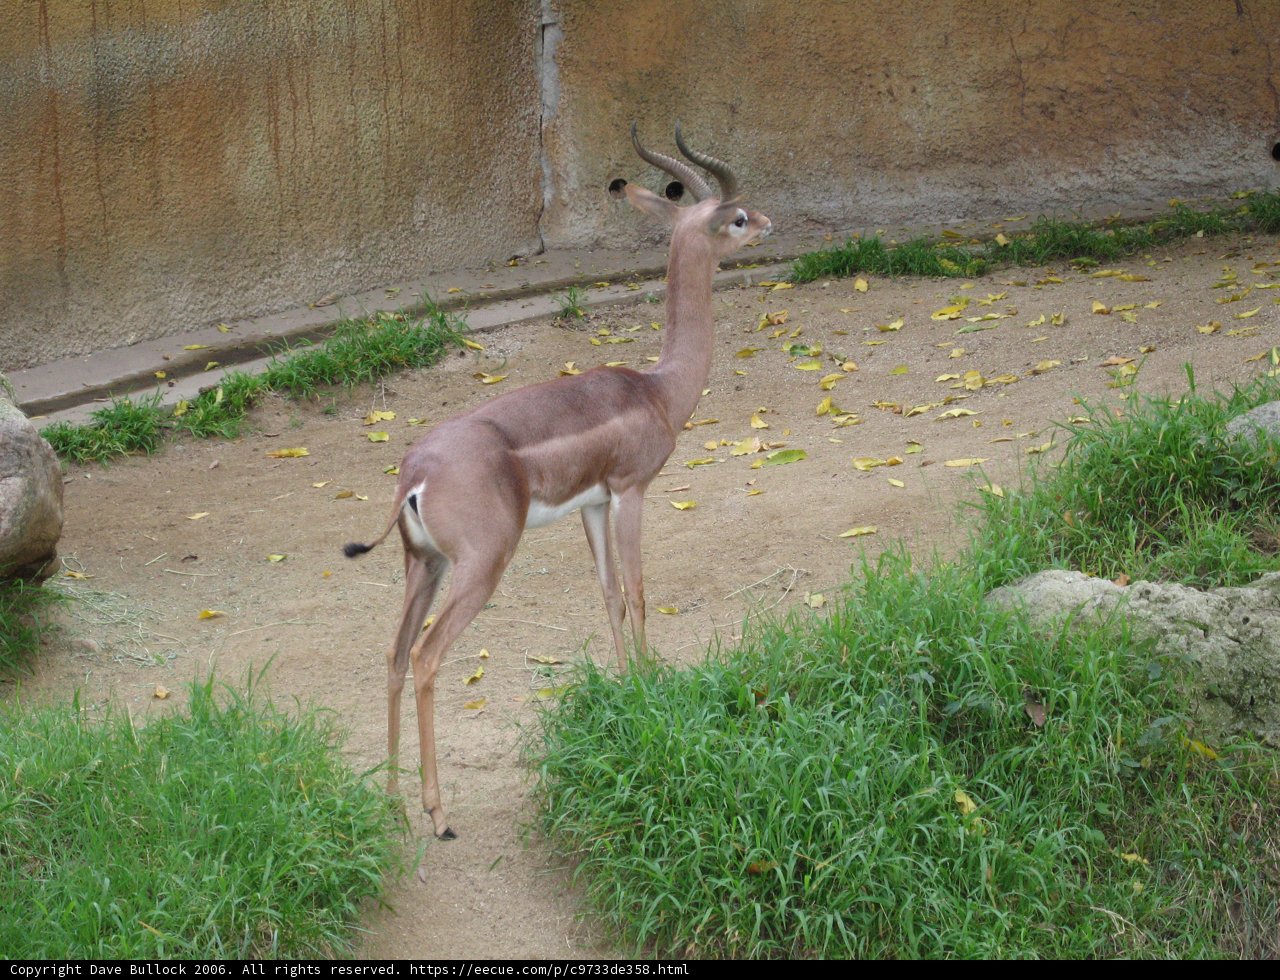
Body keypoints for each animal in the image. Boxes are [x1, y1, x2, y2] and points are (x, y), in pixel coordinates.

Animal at [344, 123, 772, 839]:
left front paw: (629, 689)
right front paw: (652, 684)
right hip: (480, 567)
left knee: (395, 655)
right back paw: (439, 815)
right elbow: (639, 591)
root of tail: (417, 474)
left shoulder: (591, 506)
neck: (657, 389)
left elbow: (609, 595)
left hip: (424, 566)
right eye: (736, 217)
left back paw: (394, 802)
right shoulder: (631, 491)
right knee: (429, 657)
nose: (769, 222)